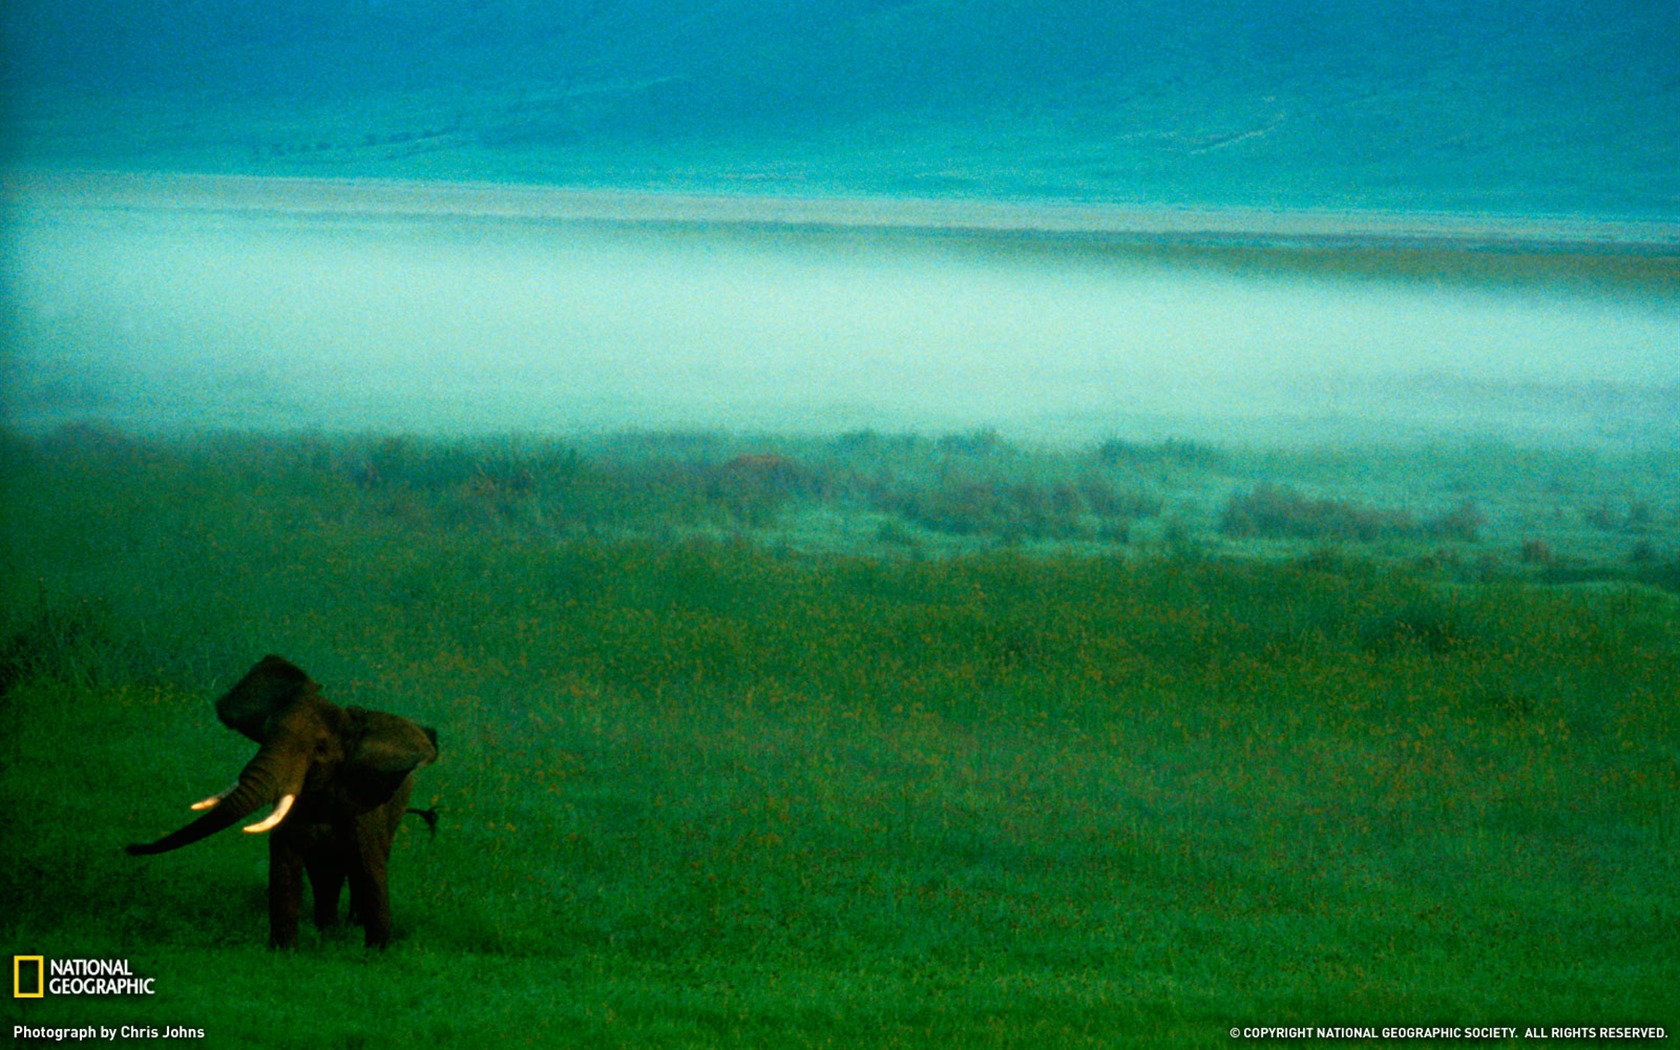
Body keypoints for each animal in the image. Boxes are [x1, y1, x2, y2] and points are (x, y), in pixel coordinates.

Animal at [126, 651, 436, 947]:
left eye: (320, 750)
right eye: (266, 731)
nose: (130, 847)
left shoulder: (365, 808)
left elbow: (370, 868)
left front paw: (376, 952)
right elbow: (284, 867)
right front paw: (284, 951)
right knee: (325, 874)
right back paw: (328, 932)